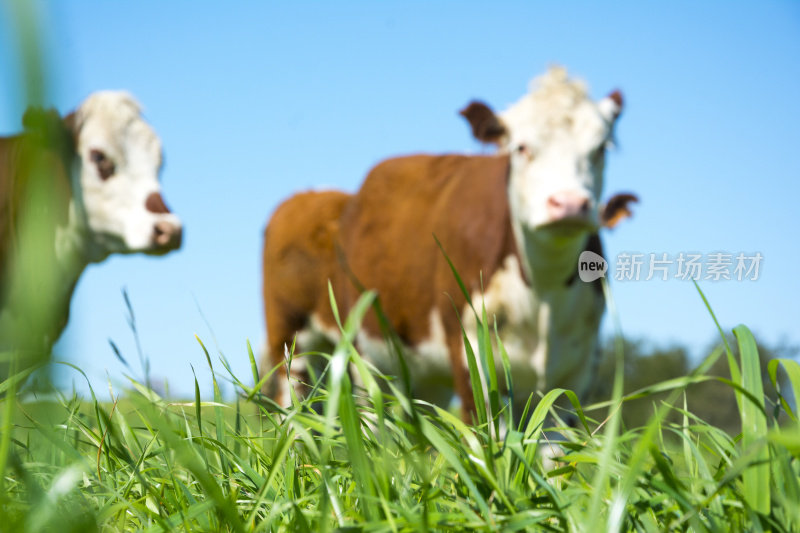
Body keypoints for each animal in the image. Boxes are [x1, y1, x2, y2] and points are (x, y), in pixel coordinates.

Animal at [262, 67, 636, 420]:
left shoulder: (576, 374)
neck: (543, 291)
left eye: (601, 148)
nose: (570, 204)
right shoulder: (472, 354)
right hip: (299, 342)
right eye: (521, 147)